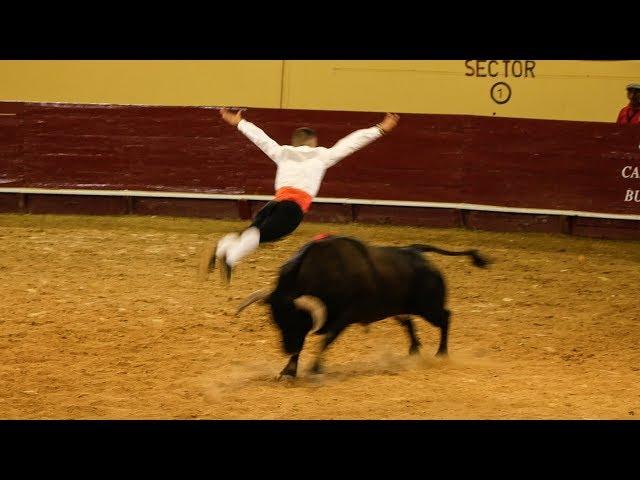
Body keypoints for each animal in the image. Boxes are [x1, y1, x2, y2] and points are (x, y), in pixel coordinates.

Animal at [236, 236, 490, 378]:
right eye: (275, 321)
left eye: (295, 318)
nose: (286, 348)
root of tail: (415, 251)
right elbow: (307, 343)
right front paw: (288, 371)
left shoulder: (345, 316)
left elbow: (326, 338)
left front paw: (314, 367)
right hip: (399, 307)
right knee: (408, 321)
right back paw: (414, 351)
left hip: (429, 307)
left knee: (445, 317)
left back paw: (441, 353)